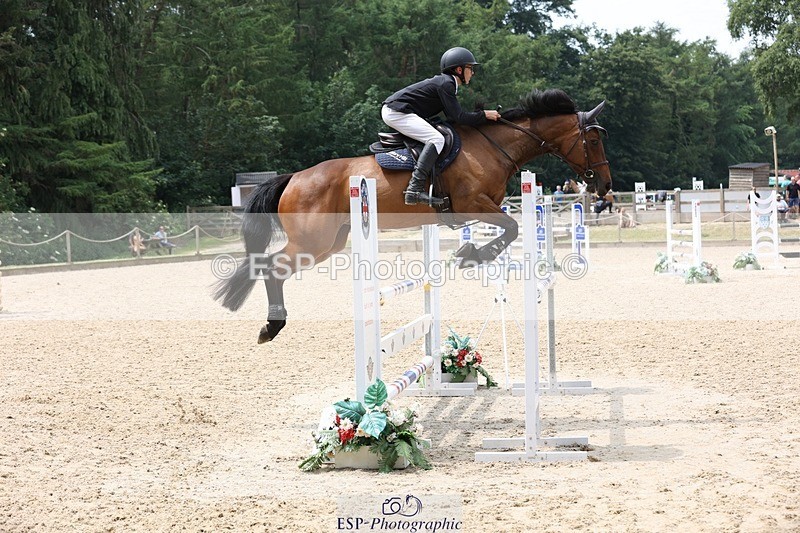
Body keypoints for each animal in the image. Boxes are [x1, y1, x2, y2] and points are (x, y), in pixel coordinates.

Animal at [214, 88, 612, 344]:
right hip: (312, 242)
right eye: (593, 141)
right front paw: (472, 255)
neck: (494, 146)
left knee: (273, 267)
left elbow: (507, 230)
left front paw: (469, 253)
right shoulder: (474, 203)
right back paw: (271, 327)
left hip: (329, 244)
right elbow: (511, 227)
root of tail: (294, 177)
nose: (605, 186)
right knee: (270, 267)